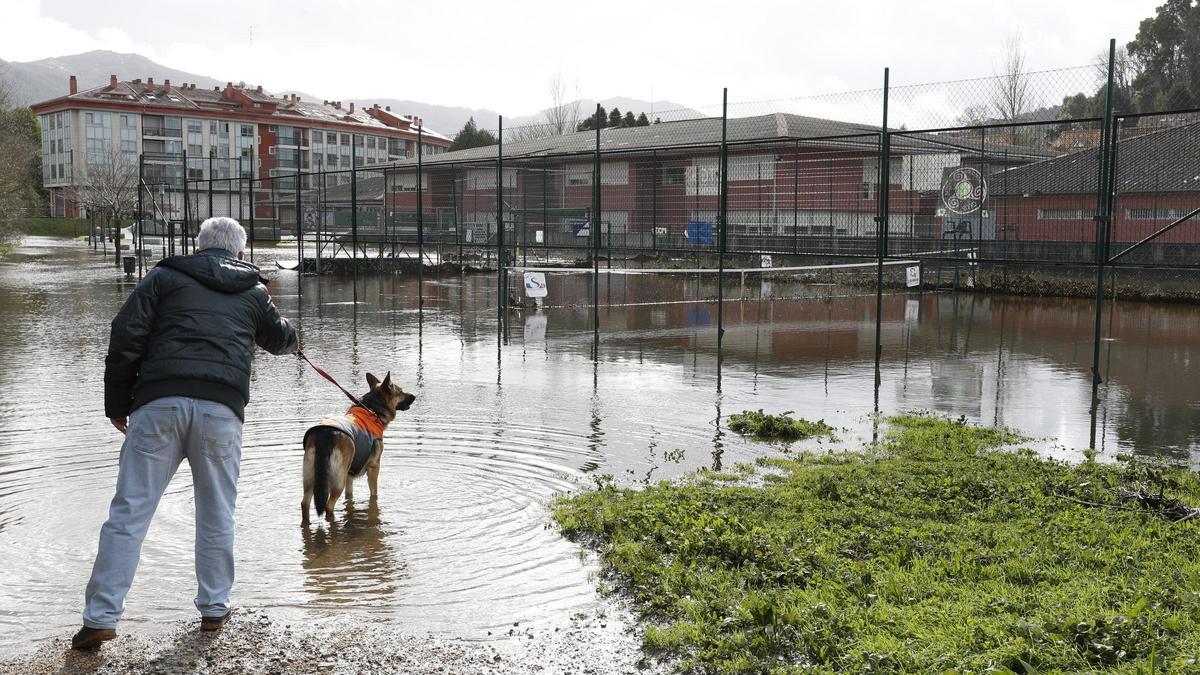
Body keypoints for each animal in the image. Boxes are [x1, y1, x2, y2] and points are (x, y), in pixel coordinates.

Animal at [300, 369, 417, 523]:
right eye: (401, 391)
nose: (415, 396)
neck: (372, 410)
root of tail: (326, 435)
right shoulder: (374, 468)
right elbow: (374, 494)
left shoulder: (349, 475)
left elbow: (349, 495)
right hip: (337, 481)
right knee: (329, 506)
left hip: (310, 479)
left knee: (304, 503)